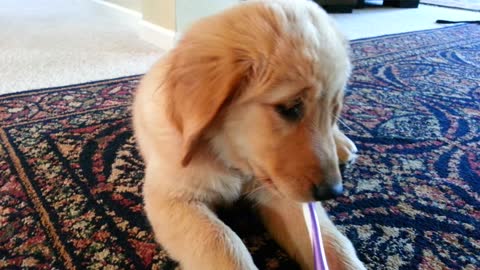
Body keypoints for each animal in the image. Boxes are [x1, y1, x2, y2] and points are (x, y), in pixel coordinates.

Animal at [131, 0, 364, 270]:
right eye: (290, 108)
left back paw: (342, 144)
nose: (333, 192)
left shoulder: (279, 189)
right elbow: (222, 243)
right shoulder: (173, 198)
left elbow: (330, 242)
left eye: (333, 110)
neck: (230, 156)